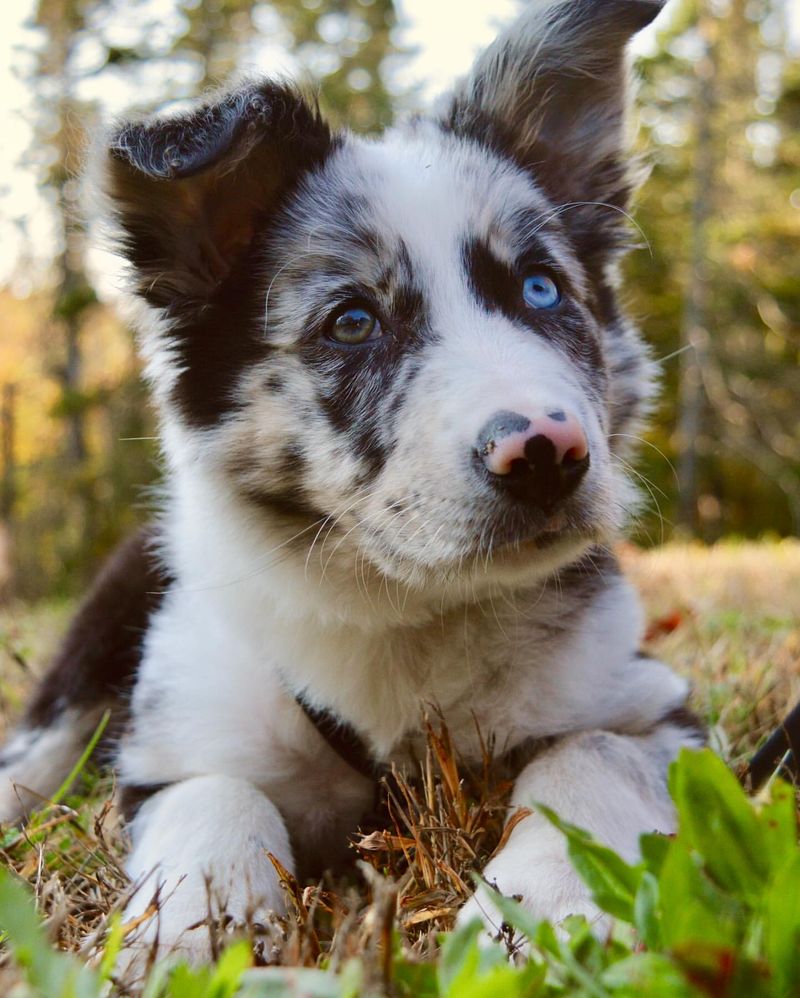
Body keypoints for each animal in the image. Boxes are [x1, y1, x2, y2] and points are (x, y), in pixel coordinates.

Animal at [0, 0, 704, 968]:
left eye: (541, 289)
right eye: (352, 322)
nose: (548, 455)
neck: (407, 610)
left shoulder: (658, 707)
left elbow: (591, 754)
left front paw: (543, 911)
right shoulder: (171, 743)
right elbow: (218, 790)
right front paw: (190, 928)